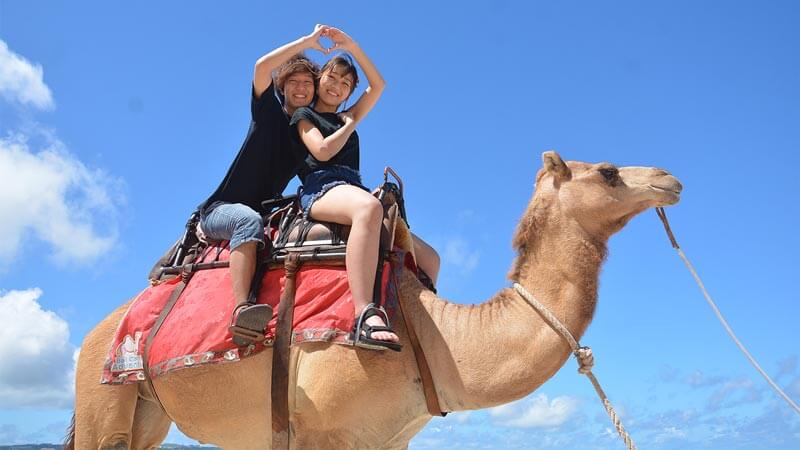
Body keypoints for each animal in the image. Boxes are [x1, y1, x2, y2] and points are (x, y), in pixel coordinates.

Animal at [67, 153, 680, 448]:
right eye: (607, 172)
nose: (669, 179)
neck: (432, 336)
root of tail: (98, 329)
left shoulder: (386, 440)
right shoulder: (320, 432)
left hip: (146, 416)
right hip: (100, 398)